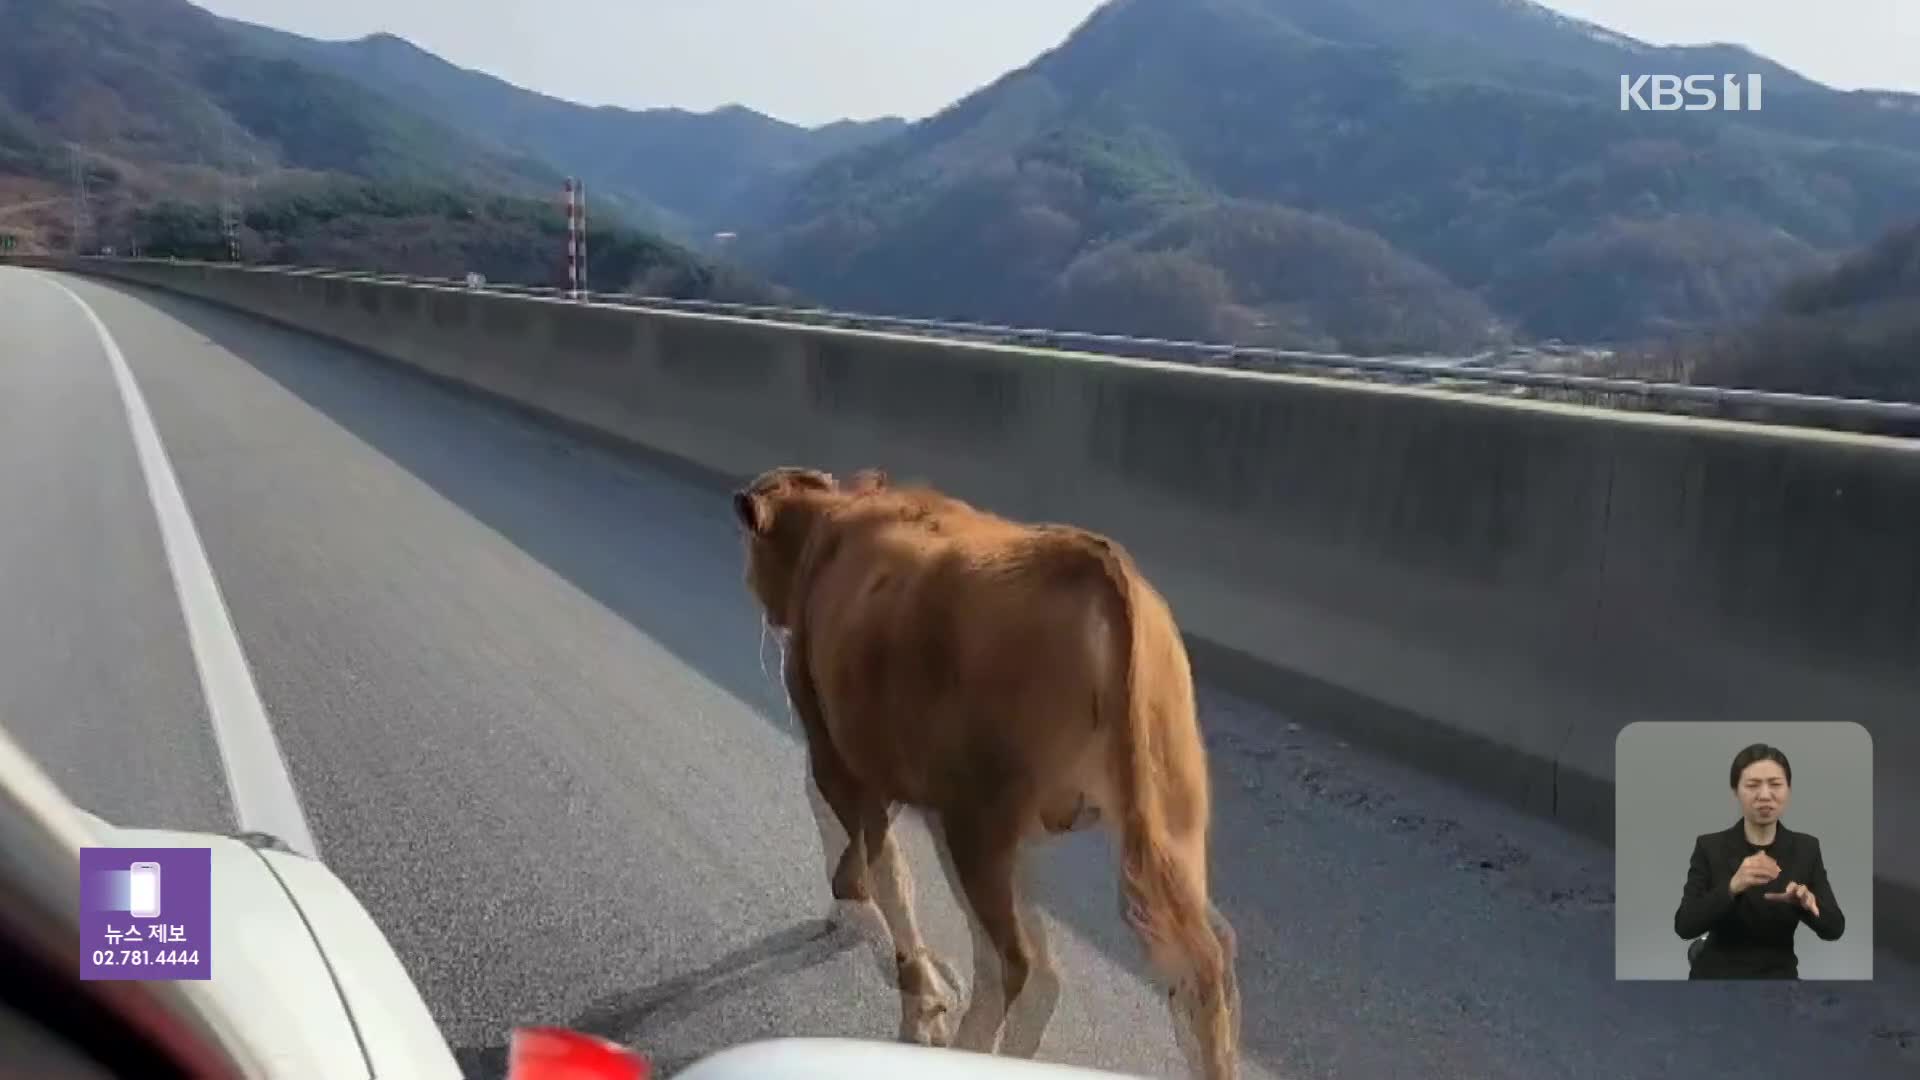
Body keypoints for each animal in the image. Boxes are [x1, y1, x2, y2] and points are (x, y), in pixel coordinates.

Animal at [733, 465, 1244, 1076]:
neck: (834, 522)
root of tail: (1097, 567)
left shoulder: (840, 757)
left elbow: (862, 876)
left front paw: (921, 997)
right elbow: (890, 874)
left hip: (978, 824)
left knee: (1014, 963)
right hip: (1162, 825)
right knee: (1196, 965)